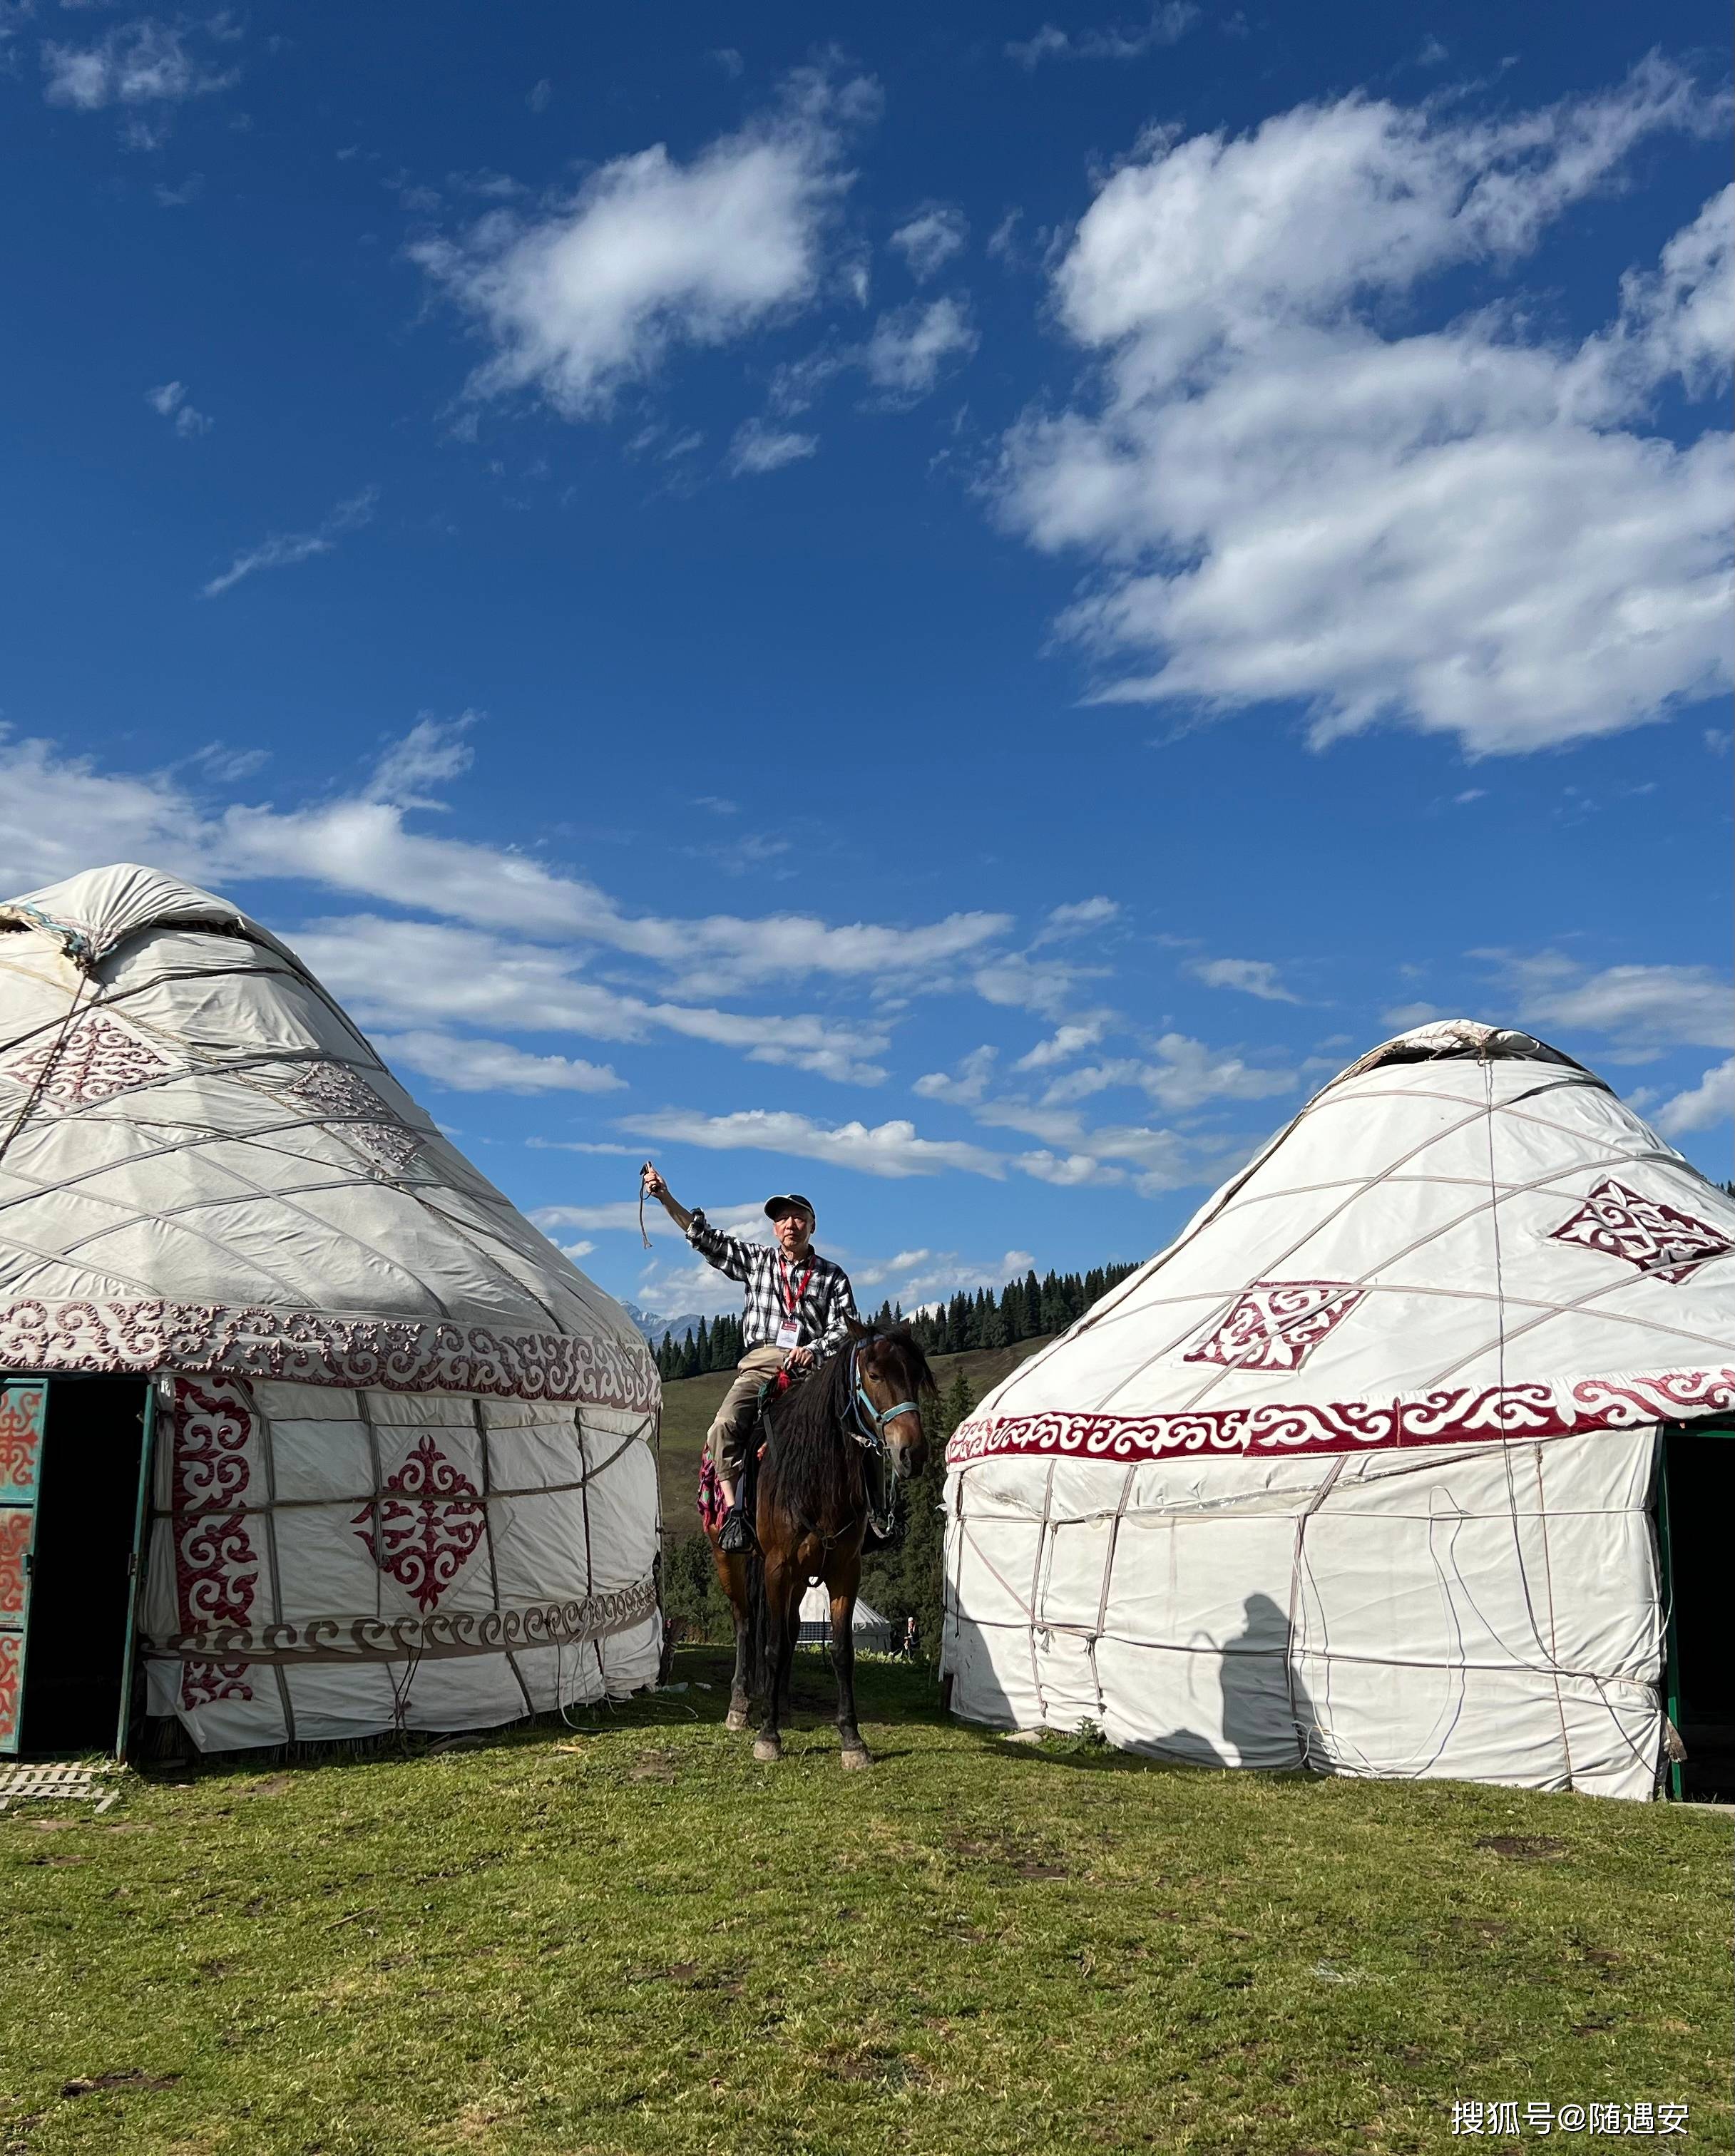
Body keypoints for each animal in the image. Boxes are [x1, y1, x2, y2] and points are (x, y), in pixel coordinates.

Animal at [702, 1319, 935, 1759]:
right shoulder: (777, 1566)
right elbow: (772, 1647)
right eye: (874, 1375)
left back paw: (784, 1707)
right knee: (746, 1625)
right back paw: (741, 1708)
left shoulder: (844, 1570)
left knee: (791, 1627)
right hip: (731, 1561)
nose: (912, 1454)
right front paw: (767, 1737)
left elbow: (840, 1652)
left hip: (799, 1577)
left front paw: (852, 1740)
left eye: (916, 1377)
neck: (815, 1476)